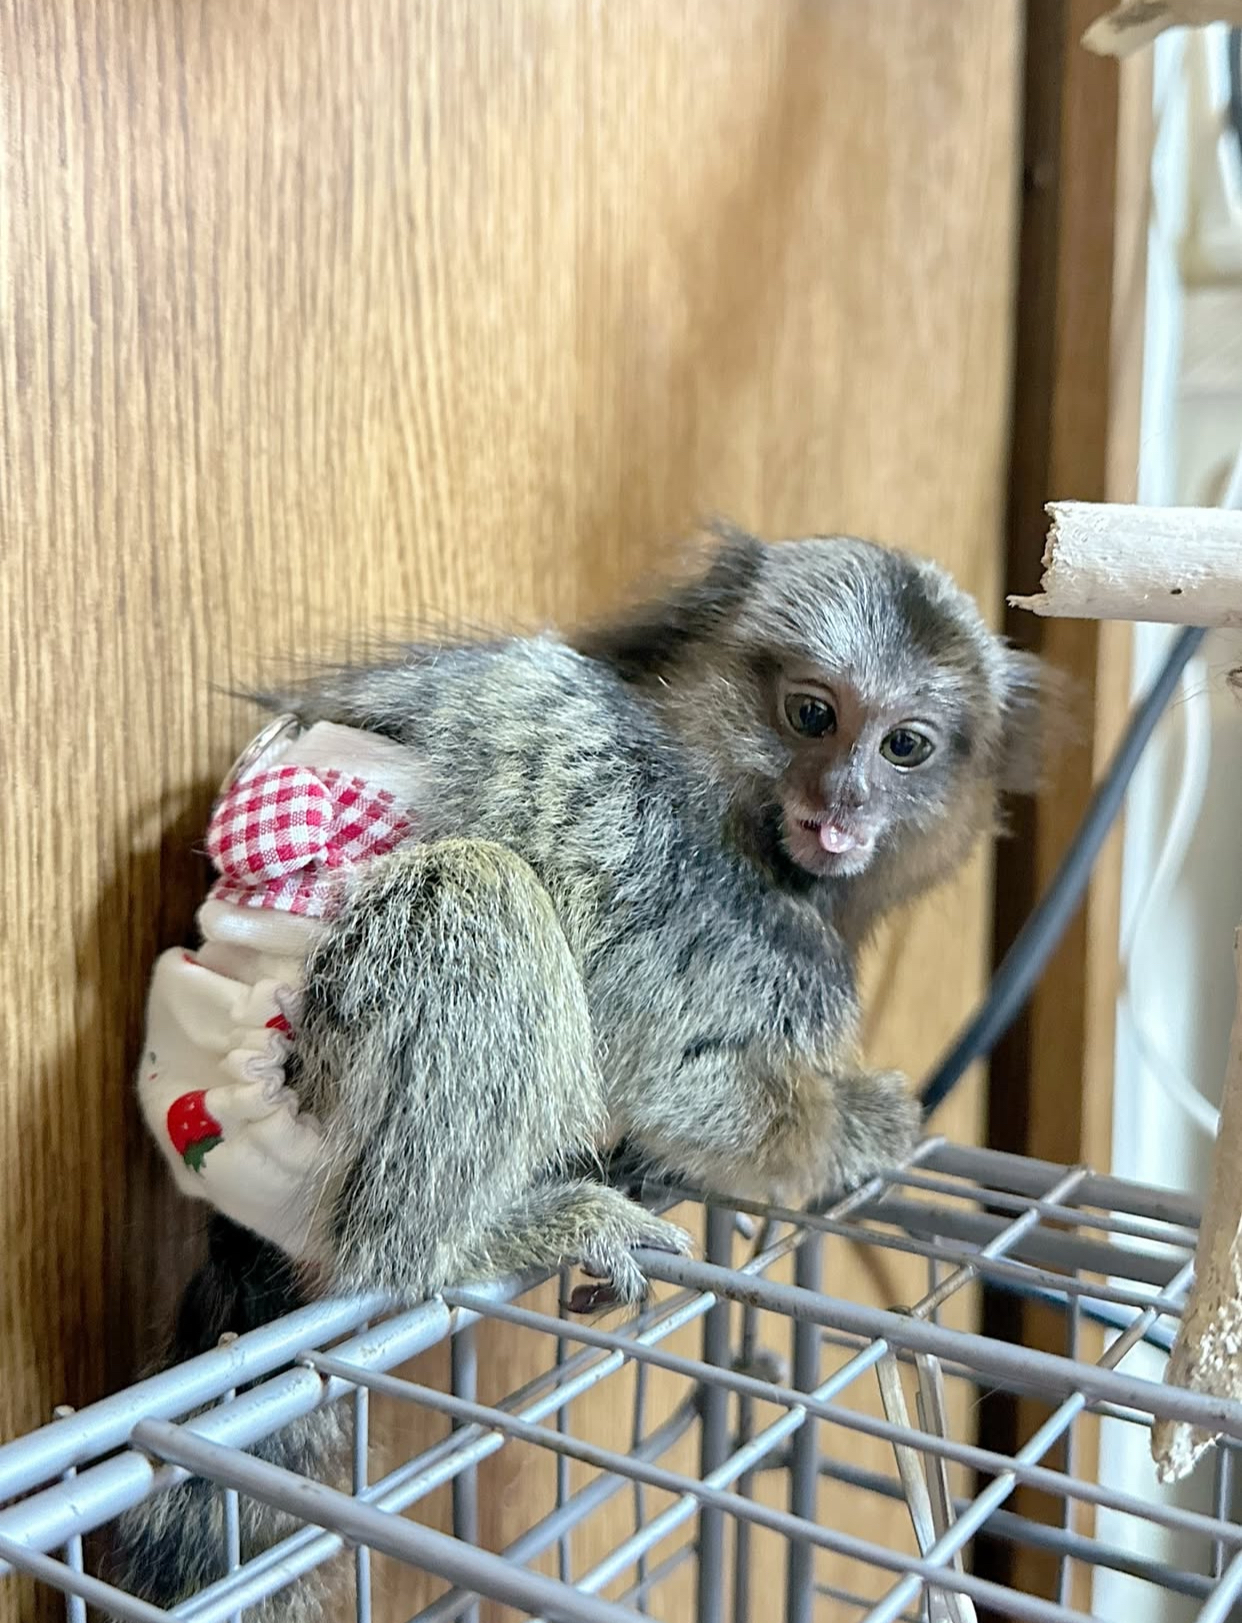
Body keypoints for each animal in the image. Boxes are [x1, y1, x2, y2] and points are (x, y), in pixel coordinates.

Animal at [112, 527, 1044, 1616]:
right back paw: (490, 1234)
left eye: (908, 746)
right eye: (812, 714)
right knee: (481, 896)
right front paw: (859, 1124)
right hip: (311, 1083)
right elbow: (679, 1076)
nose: (845, 802)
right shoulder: (657, 846)